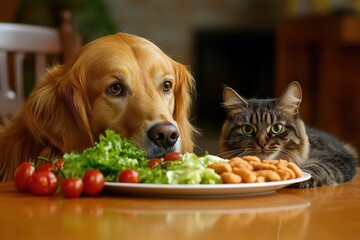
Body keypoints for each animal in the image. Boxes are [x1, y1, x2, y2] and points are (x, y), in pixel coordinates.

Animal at [219, 81, 358, 188]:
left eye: (277, 128)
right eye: (247, 129)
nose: (262, 143)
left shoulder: (335, 157)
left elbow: (316, 166)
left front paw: (301, 178)